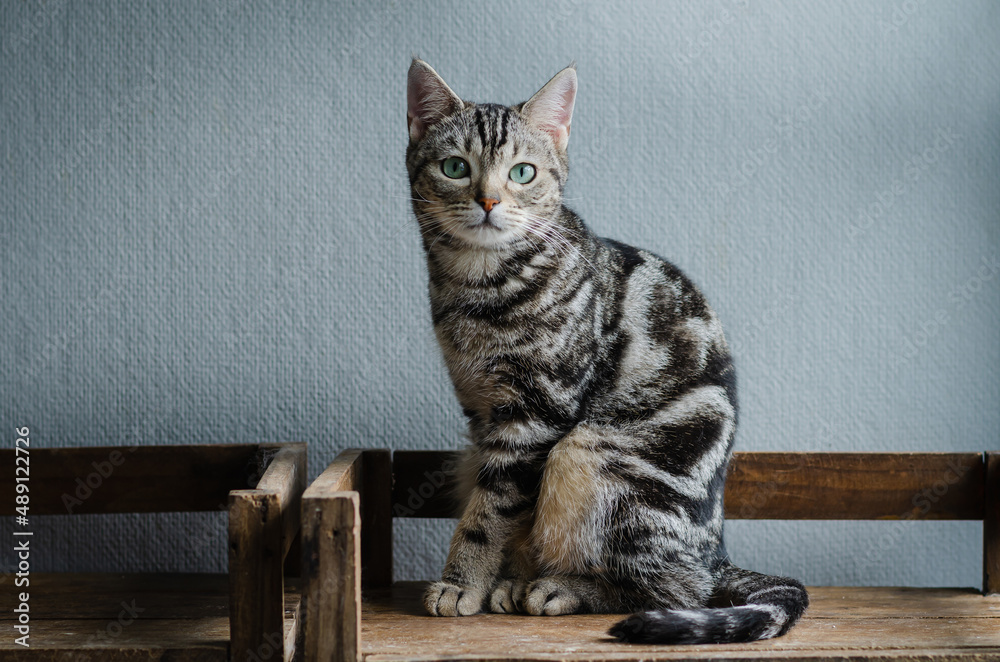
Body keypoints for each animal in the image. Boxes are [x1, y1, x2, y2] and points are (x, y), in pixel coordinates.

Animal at [402, 59, 808, 644]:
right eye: (455, 167)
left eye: (522, 173)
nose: (488, 201)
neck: (479, 286)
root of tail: (716, 553)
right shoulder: (483, 412)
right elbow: (509, 513)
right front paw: (504, 578)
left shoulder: (538, 411)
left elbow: (490, 511)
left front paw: (463, 581)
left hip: (591, 456)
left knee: (678, 588)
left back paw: (567, 587)